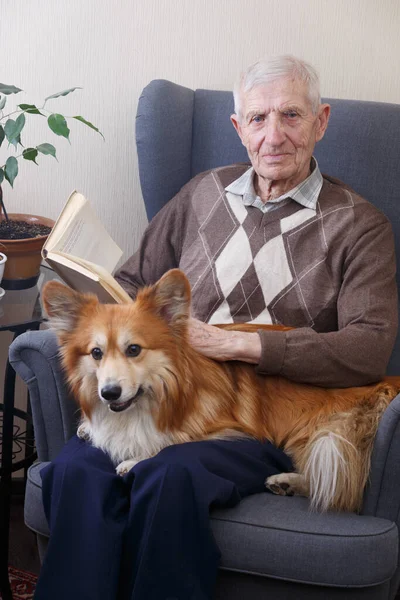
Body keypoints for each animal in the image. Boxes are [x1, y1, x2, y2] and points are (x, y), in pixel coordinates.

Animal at [43, 270, 400, 510]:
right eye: (96, 353)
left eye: (134, 350)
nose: (109, 393)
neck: (154, 399)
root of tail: (385, 383)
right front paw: (89, 428)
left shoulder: (230, 428)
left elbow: (171, 441)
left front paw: (134, 460)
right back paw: (285, 483)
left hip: (319, 434)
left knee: (339, 483)